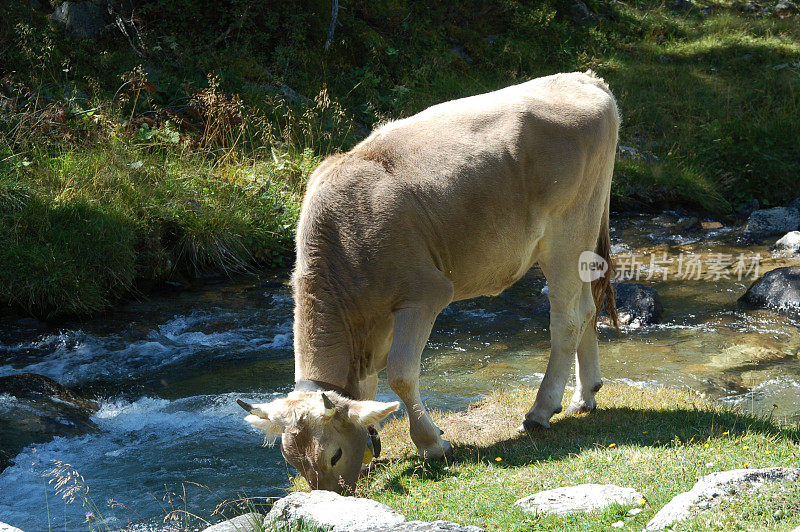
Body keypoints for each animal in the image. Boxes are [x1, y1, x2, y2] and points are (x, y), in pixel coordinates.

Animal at [236, 70, 620, 494]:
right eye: (293, 461)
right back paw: (585, 395)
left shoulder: (424, 294)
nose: (331, 498)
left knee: (567, 317)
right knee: (588, 307)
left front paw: (432, 444)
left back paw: (540, 409)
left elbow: (401, 374)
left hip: (568, 233)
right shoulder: (375, 323)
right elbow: (367, 386)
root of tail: (583, 79)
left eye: (333, 455)